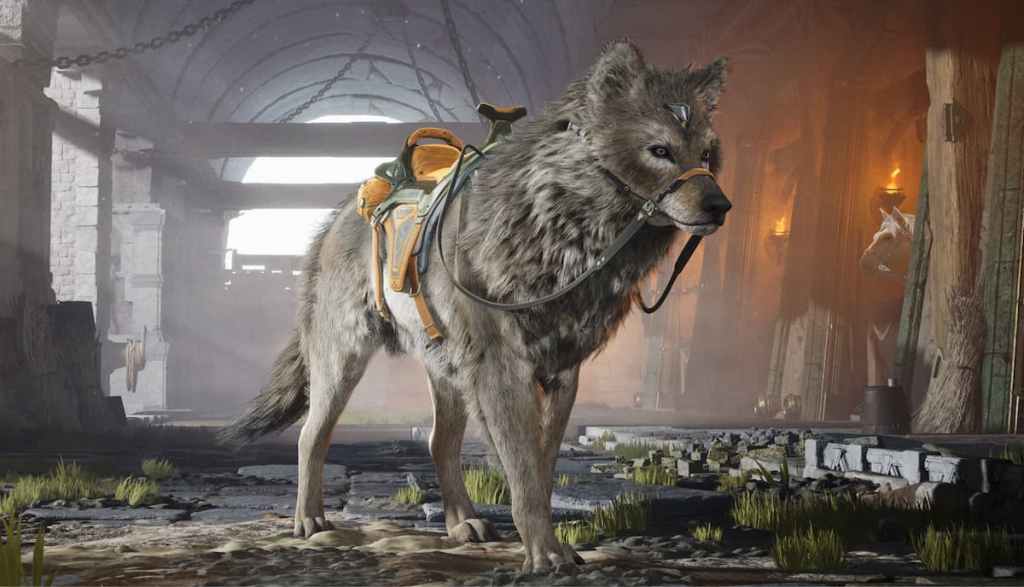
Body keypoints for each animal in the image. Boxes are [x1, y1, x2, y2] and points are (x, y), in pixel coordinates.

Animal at [222, 41, 731, 573]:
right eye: (660, 151)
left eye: (706, 154)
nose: (721, 207)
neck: (556, 230)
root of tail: (342, 211)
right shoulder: (501, 368)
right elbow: (522, 470)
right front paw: (544, 555)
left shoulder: (562, 373)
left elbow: (541, 470)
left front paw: (553, 547)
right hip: (344, 362)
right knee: (311, 436)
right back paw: (309, 521)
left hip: (447, 369)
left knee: (438, 442)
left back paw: (462, 523)